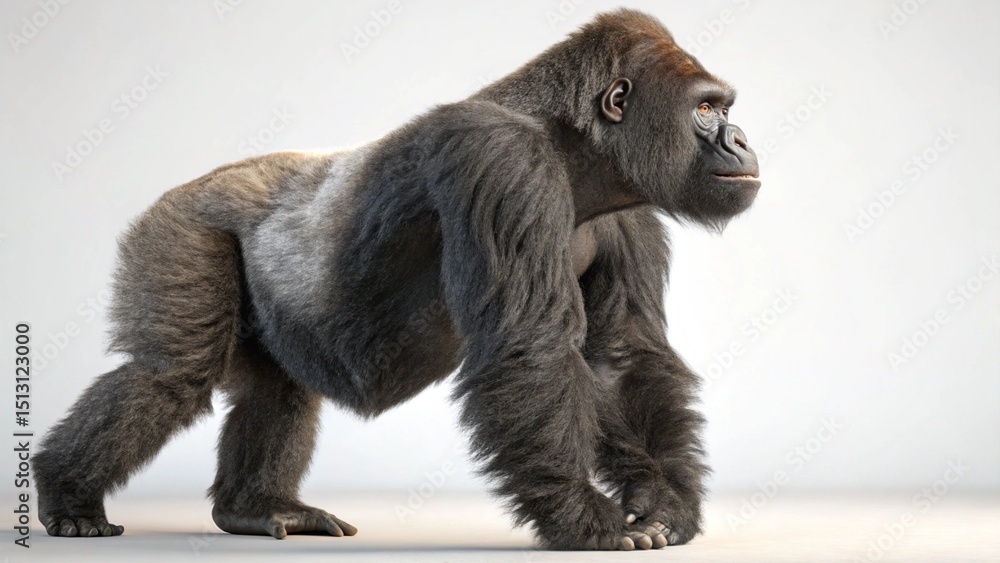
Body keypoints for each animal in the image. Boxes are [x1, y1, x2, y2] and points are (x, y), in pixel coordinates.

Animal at [33, 9, 760, 551]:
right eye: (706, 110)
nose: (742, 140)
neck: (573, 144)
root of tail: (181, 190)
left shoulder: (628, 207)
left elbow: (622, 357)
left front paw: (663, 502)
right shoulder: (501, 160)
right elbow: (528, 346)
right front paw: (583, 513)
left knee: (276, 387)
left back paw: (253, 506)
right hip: (181, 226)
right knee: (168, 374)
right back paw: (67, 493)